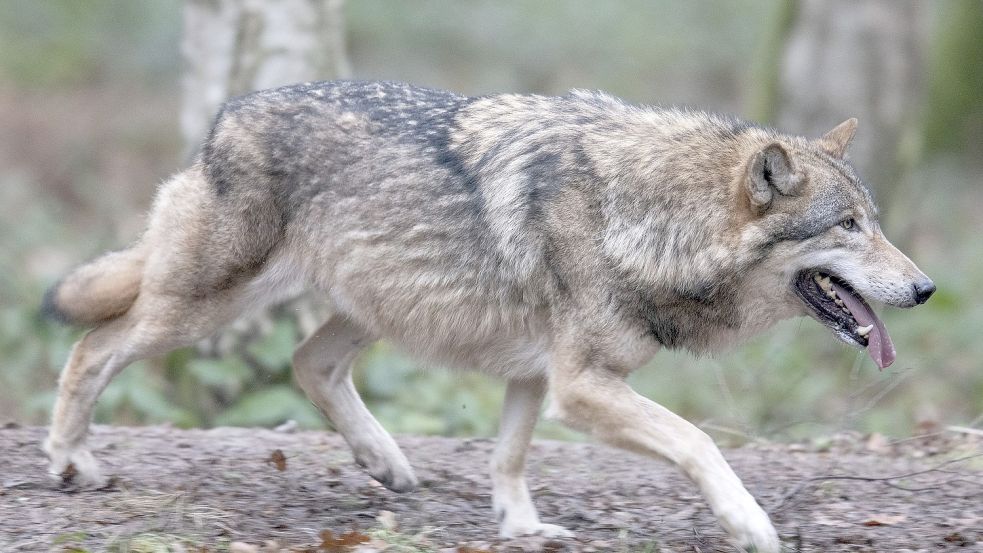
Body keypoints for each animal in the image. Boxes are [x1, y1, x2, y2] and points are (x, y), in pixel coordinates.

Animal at [42, 80, 934, 552]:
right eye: (847, 226)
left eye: (875, 221)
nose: (925, 288)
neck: (647, 215)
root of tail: (226, 114)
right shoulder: (580, 384)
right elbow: (699, 441)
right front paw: (749, 522)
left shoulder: (536, 372)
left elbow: (508, 455)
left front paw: (522, 527)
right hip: (200, 308)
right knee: (92, 346)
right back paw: (70, 461)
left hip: (372, 308)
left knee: (308, 362)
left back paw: (386, 461)